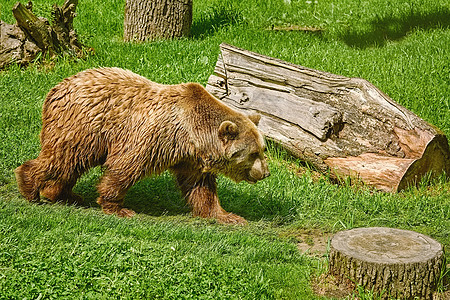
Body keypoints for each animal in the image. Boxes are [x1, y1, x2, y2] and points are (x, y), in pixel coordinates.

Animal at [15, 67, 268, 224]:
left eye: (263, 149)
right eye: (253, 153)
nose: (266, 173)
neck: (192, 134)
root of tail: (57, 87)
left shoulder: (190, 159)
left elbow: (201, 188)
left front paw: (227, 216)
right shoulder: (153, 137)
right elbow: (126, 166)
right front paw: (119, 208)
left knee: (70, 164)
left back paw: (63, 194)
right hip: (83, 125)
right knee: (63, 157)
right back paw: (30, 187)